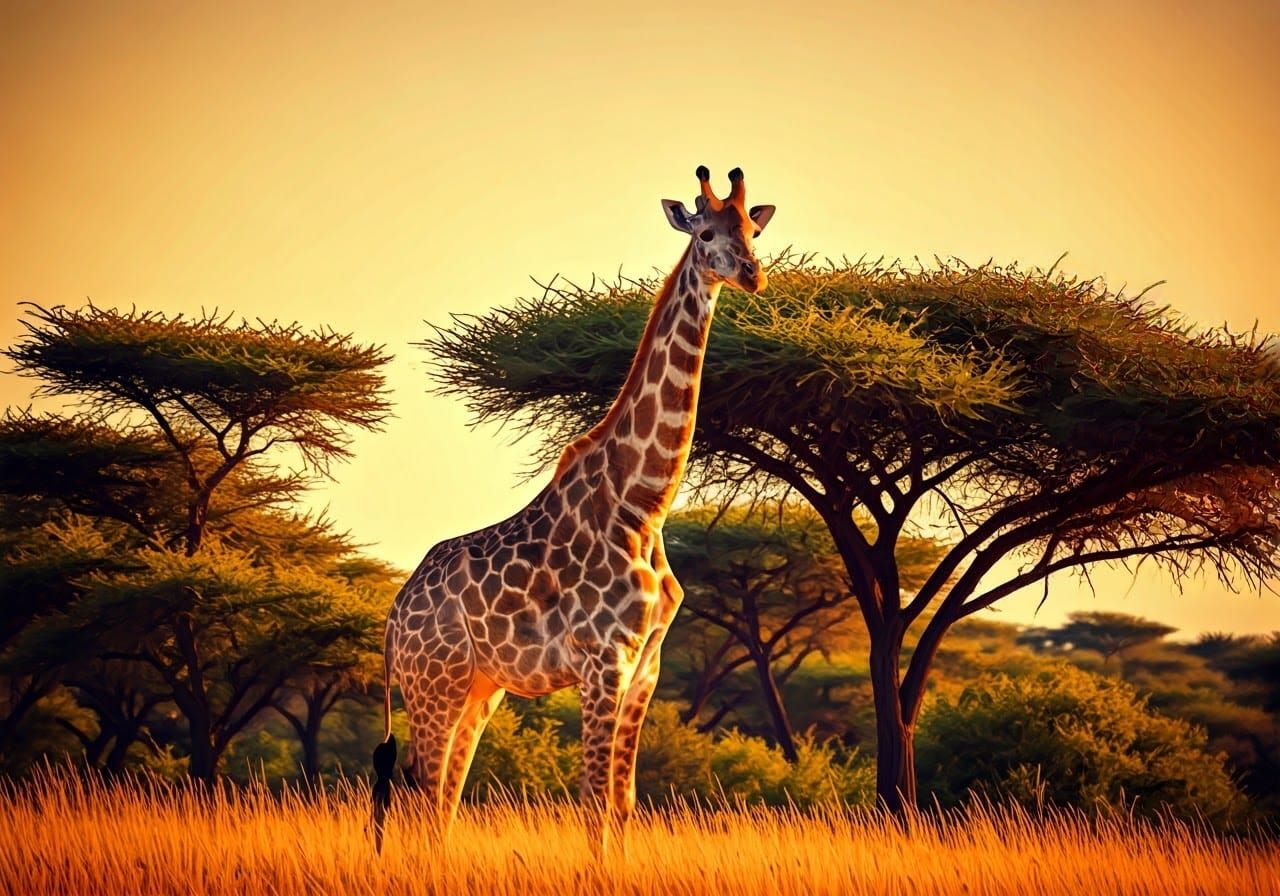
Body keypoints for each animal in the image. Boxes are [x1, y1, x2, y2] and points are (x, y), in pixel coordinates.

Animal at [372, 166, 776, 856]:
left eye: (752, 228)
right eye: (705, 232)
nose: (751, 273)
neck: (643, 503)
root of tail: (394, 620)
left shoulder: (647, 664)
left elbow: (623, 803)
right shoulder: (601, 659)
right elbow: (593, 803)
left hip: (480, 688)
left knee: (442, 797)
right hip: (434, 683)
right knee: (420, 795)